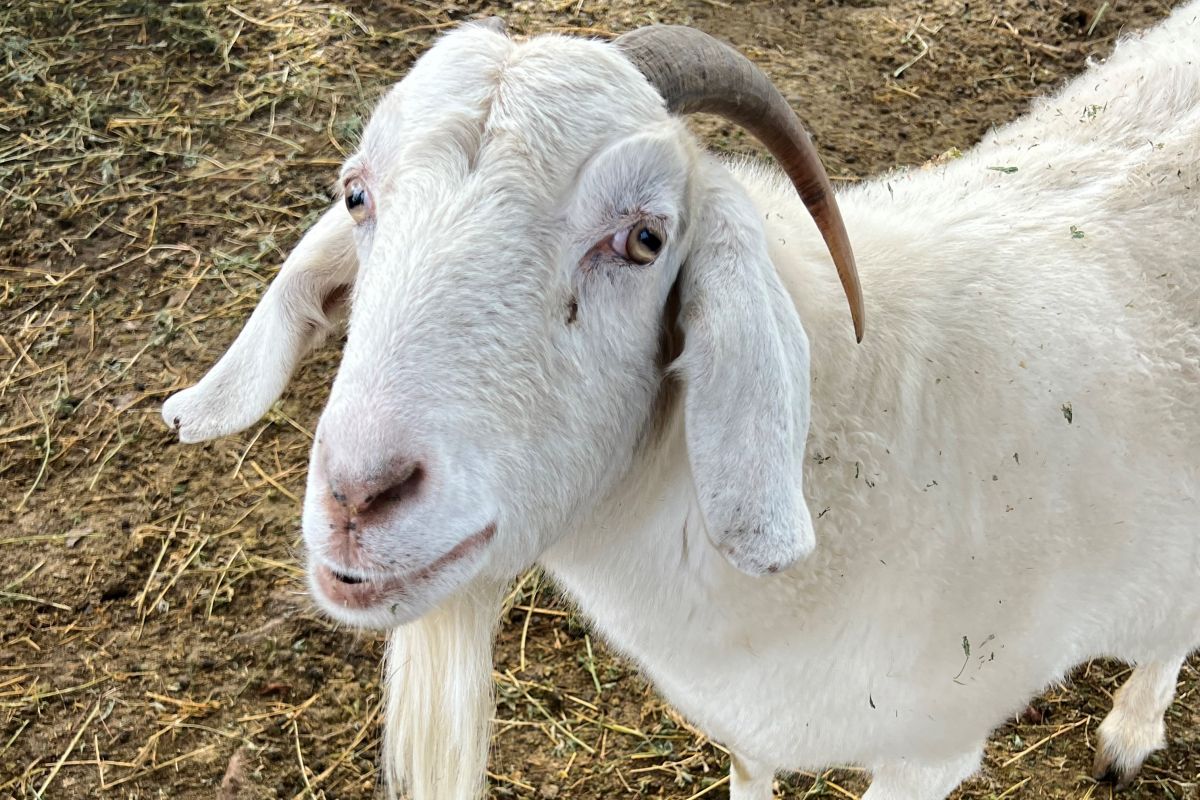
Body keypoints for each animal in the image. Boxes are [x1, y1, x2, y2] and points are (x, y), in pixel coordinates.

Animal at [164, 7, 1200, 800]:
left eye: (645, 239)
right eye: (356, 197)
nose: (359, 497)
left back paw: (1130, 733)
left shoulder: (929, 753)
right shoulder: (744, 718)